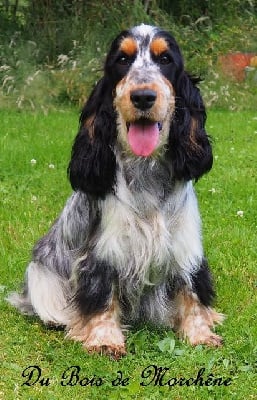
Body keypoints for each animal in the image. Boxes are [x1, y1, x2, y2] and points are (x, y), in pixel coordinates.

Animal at [8, 23, 222, 358]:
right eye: (123, 59)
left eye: (165, 59)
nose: (143, 96)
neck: (146, 169)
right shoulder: (105, 250)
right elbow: (102, 292)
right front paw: (104, 338)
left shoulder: (185, 247)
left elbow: (192, 290)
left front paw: (200, 333)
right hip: (40, 276)